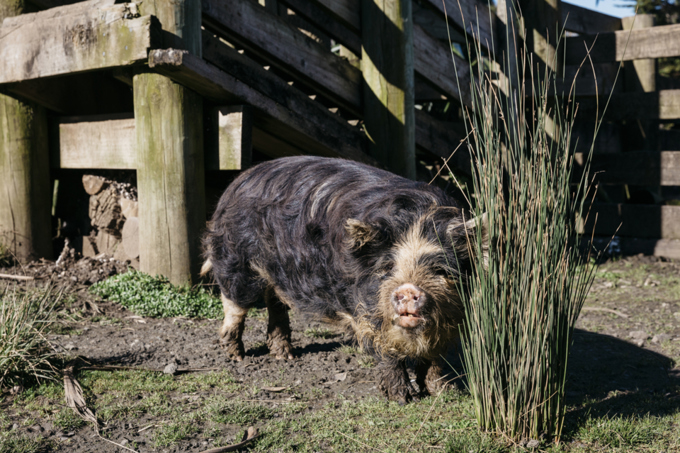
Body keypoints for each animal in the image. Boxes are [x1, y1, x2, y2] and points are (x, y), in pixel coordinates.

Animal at [201, 156, 481, 404]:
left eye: (440, 270)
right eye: (387, 267)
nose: (408, 289)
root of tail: (240, 181)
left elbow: (437, 357)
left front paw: (445, 393)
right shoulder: (368, 311)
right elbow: (386, 351)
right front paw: (402, 399)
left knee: (276, 303)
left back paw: (286, 357)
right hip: (236, 262)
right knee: (235, 305)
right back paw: (237, 357)